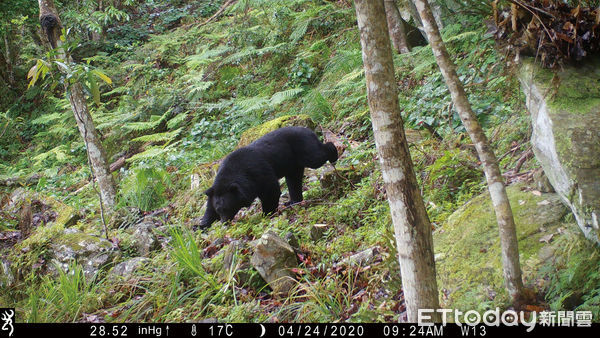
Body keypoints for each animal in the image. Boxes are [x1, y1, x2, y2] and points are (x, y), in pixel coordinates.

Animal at [198, 127, 336, 230]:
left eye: (228, 208)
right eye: (219, 210)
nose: (224, 222)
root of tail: (309, 130)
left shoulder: (257, 173)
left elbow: (270, 190)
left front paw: (266, 214)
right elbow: (209, 207)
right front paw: (201, 224)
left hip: (303, 149)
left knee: (316, 156)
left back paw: (334, 153)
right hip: (291, 163)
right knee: (293, 181)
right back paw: (293, 201)